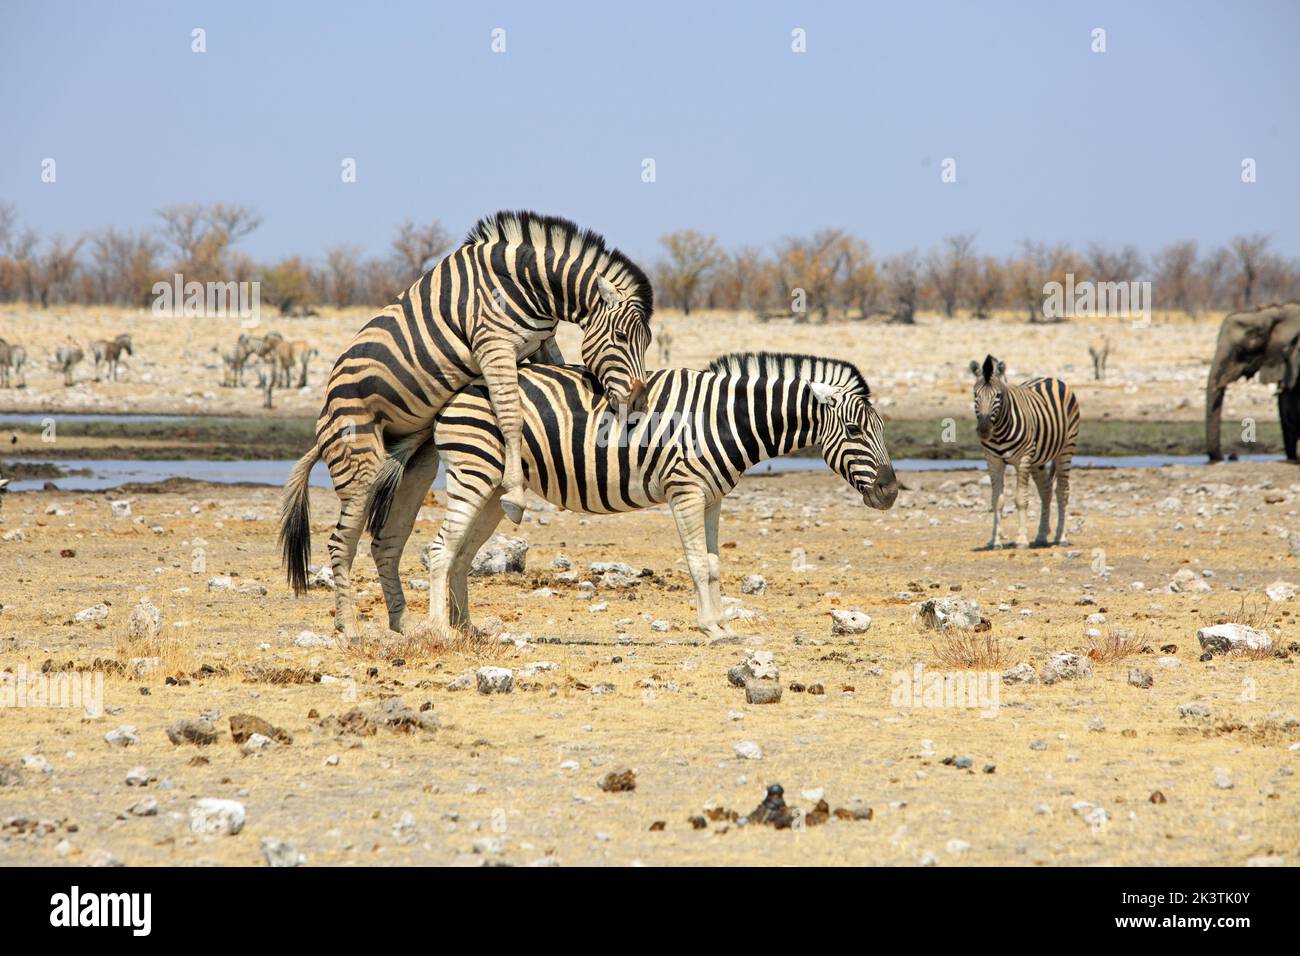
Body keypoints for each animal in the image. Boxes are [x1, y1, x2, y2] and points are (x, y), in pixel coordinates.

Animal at [280, 212, 655, 639]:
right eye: (622, 336)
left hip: (414, 469)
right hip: (358, 464)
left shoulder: (542, 343)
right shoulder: (493, 346)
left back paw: (403, 623)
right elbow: (509, 413)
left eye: (648, 341)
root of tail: (322, 424)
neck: (528, 282)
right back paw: (349, 628)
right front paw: (514, 492)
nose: (639, 404)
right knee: (341, 544)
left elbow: (559, 372)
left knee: (385, 542)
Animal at [340, 348, 899, 634]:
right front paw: (711, 628)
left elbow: (715, 563)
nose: (892, 494)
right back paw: (438, 631)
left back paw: (466, 629)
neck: (723, 417)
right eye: (854, 431)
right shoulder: (686, 490)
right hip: (473, 472)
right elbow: (697, 564)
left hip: (499, 490)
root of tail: (454, 391)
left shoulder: (713, 496)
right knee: (439, 551)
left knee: (458, 555)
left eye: (881, 429)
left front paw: (722, 624)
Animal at [972, 353, 1081, 548]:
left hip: (1066, 449)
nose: (984, 430)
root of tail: (1051, 378)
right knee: (1046, 490)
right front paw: (995, 540)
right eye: (975, 394)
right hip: (1037, 460)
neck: (999, 432)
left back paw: (1061, 537)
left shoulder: (1022, 459)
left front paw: (1021, 539)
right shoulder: (993, 461)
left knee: (1062, 491)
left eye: (998, 395)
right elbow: (996, 501)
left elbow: (1021, 499)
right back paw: (1041, 535)